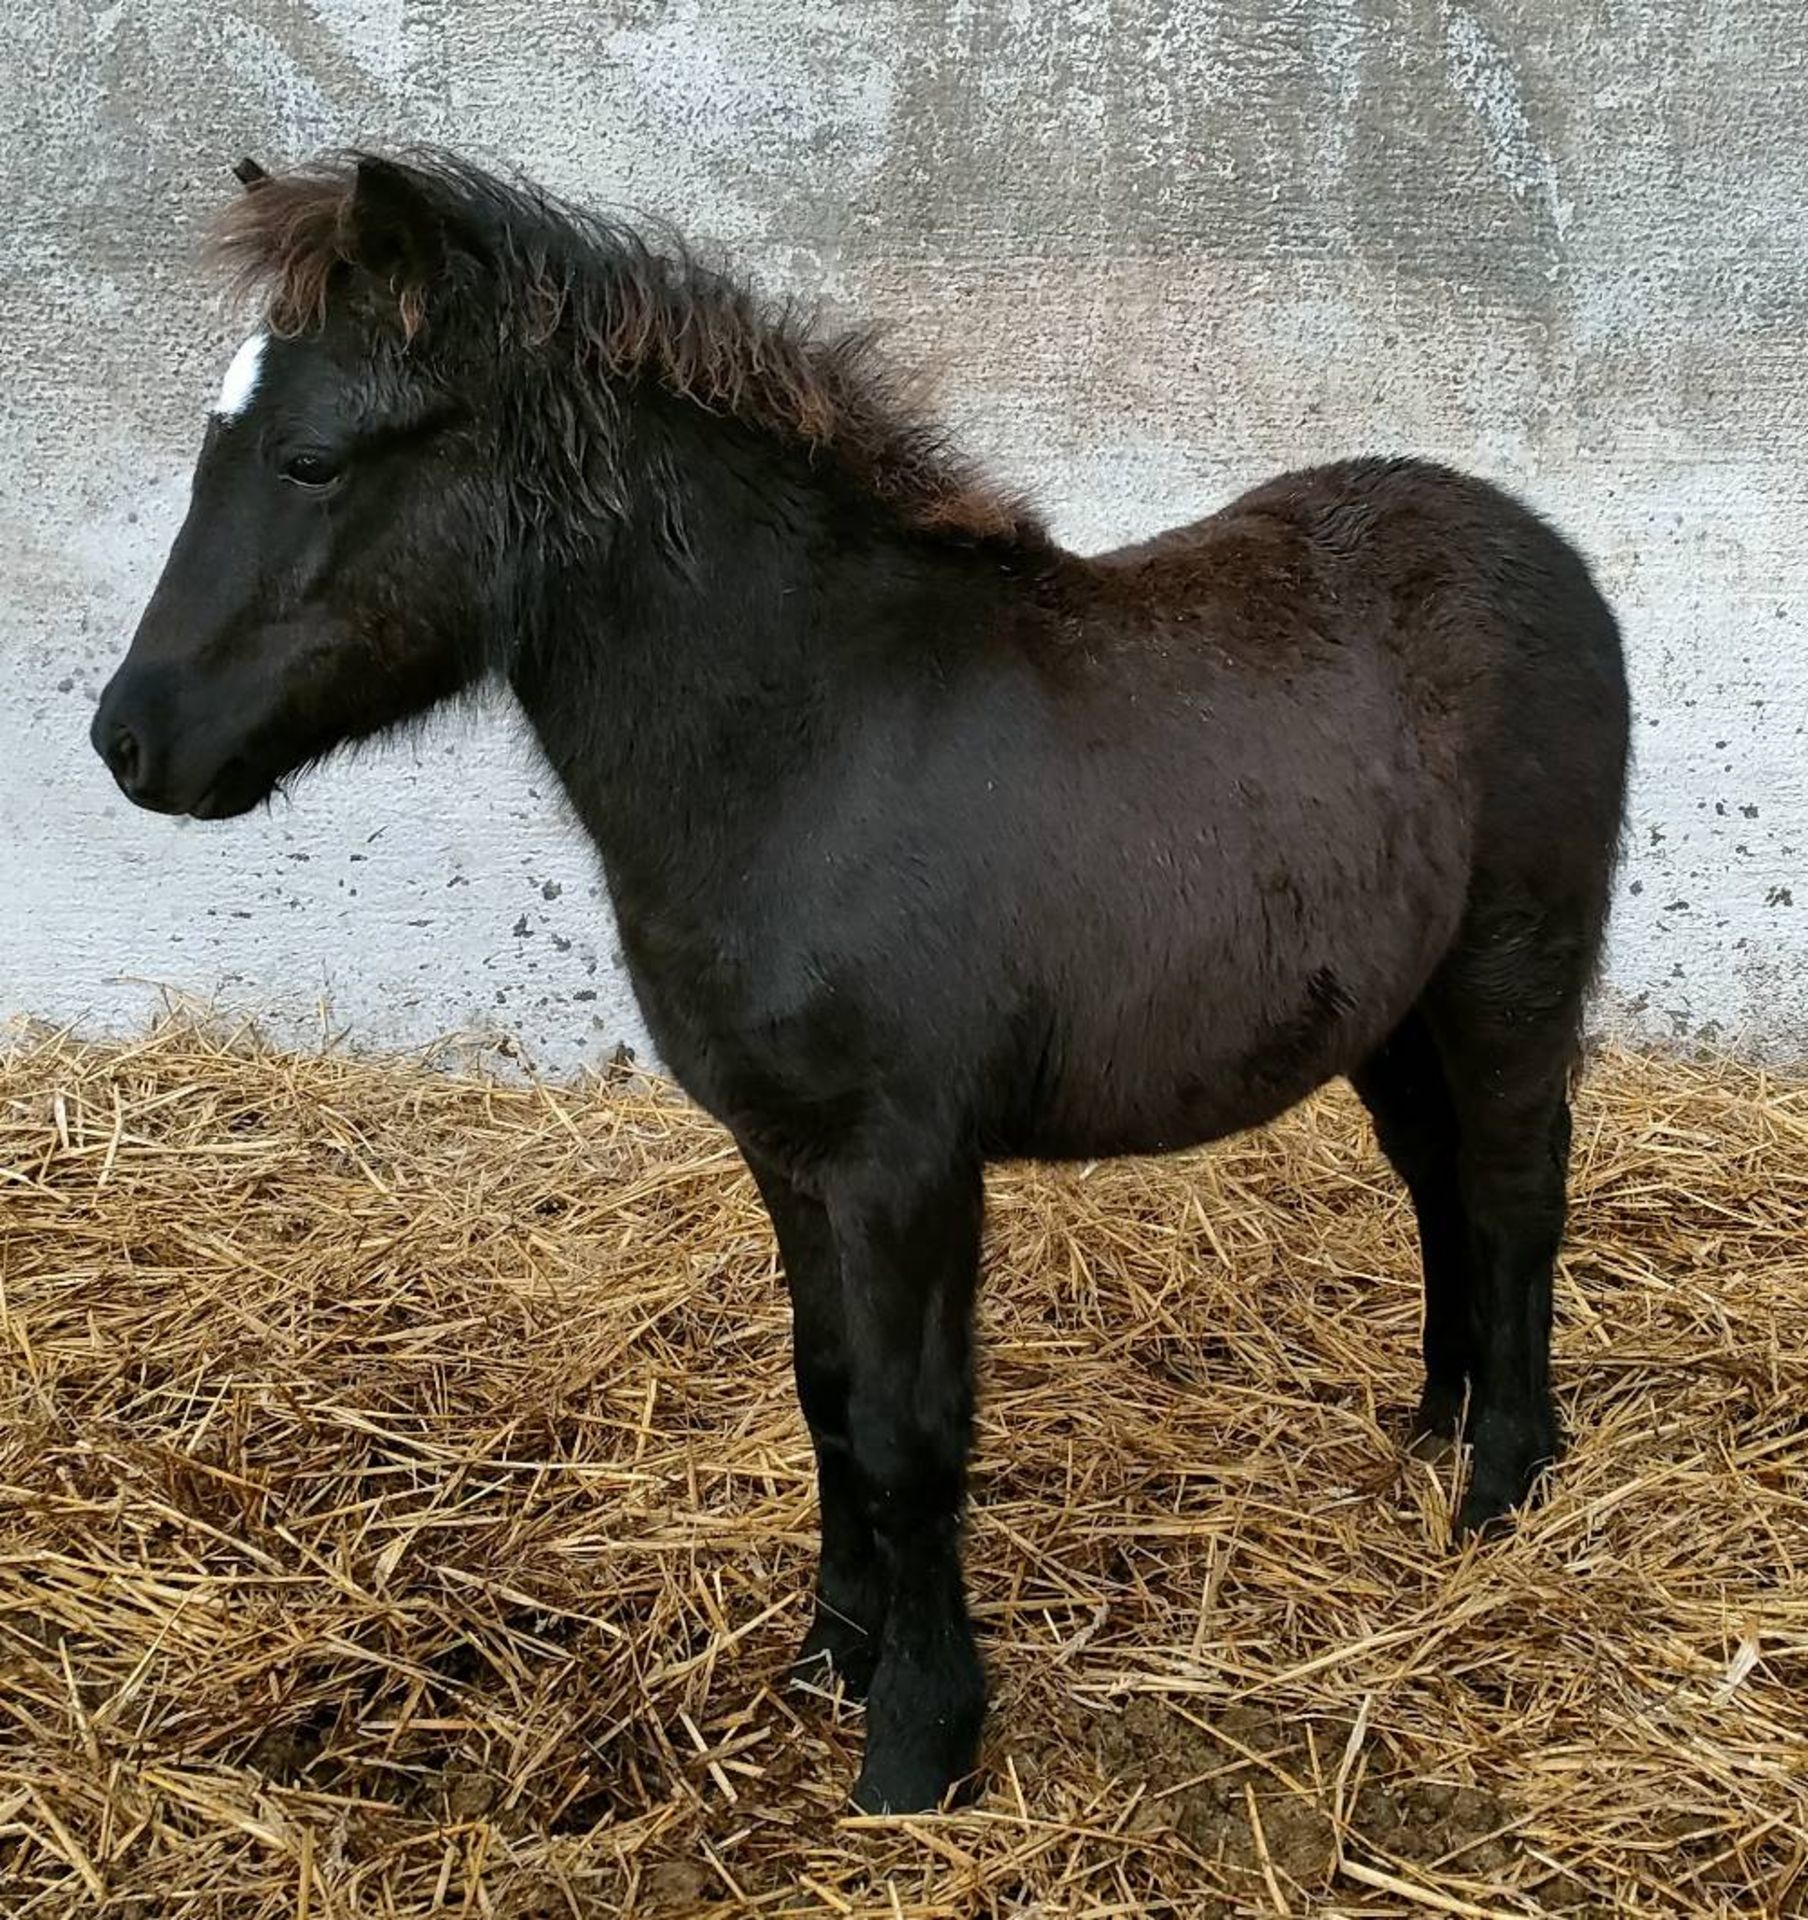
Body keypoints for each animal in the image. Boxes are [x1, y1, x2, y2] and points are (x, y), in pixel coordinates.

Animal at [92, 153, 1635, 1812]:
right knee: (1438, 1187)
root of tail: (1542, 547)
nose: (130, 739)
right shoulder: (787, 1154)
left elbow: (910, 1433)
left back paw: (1504, 1482)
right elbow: (826, 1395)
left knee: (1514, 1195)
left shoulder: (907, 1165)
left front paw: (919, 1736)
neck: (808, 745)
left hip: (1509, 977)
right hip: (1394, 1011)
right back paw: (1435, 1424)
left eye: (311, 460)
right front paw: (831, 1652)